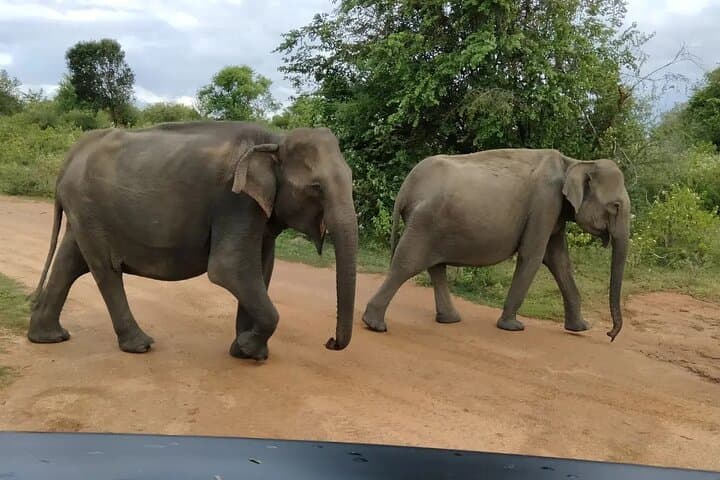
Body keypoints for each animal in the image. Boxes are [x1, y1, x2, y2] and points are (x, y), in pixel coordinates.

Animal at [28, 121, 358, 360]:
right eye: (316, 188)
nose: (330, 341)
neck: (275, 139)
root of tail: (70, 157)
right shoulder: (235, 202)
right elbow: (229, 269)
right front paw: (249, 348)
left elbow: (261, 270)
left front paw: (246, 352)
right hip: (89, 208)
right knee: (105, 270)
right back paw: (140, 345)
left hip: (83, 211)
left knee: (71, 261)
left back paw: (48, 338)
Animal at [362, 148, 630, 341]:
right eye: (616, 206)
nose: (610, 335)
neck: (575, 162)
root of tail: (405, 188)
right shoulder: (544, 203)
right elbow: (533, 256)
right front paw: (513, 327)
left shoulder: (554, 212)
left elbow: (559, 260)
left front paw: (581, 328)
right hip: (425, 221)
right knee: (407, 263)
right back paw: (374, 325)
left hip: (432, 225)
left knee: (434, 266)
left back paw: (450, 320)